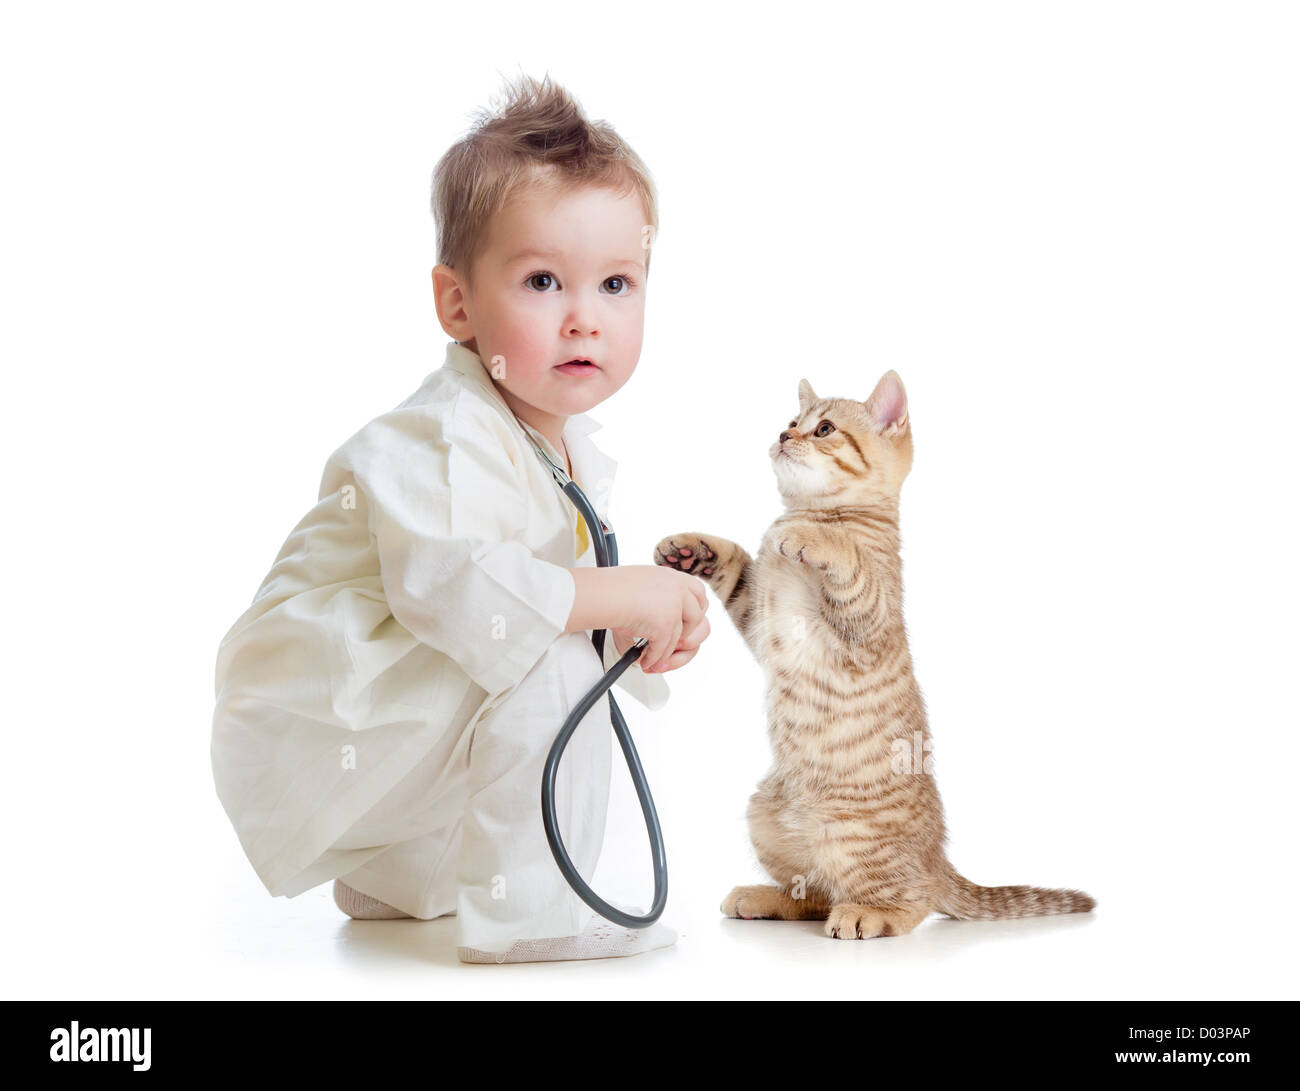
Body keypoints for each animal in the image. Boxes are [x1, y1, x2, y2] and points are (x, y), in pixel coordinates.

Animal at [655, 371, 1092, 941]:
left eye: (823, 429)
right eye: (791, 421)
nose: (783, 435)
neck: (819, 509)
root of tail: (937, 860)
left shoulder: (866, 619)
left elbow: (848, 559)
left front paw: (807, 536)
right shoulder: (758, 615)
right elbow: (735, 565)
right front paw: (692, 548)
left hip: (849, 833)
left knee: (907, 900)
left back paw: (869, 912)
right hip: (764, 814)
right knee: (814, 891)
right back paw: (765, 897)